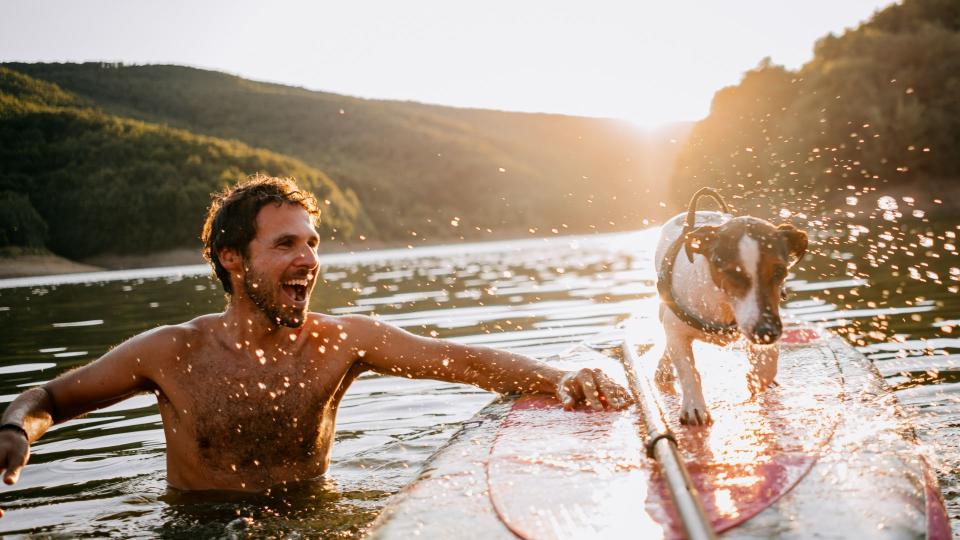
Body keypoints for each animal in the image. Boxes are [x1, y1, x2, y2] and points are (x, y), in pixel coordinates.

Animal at [652, 190, 808, 426]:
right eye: (733, 274)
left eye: (780, 271)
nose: (767, 332)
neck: (721, 302)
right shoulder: (675, 329)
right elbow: (688, 369)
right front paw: (694, 407)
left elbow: (768, 361)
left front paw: (758, 377)